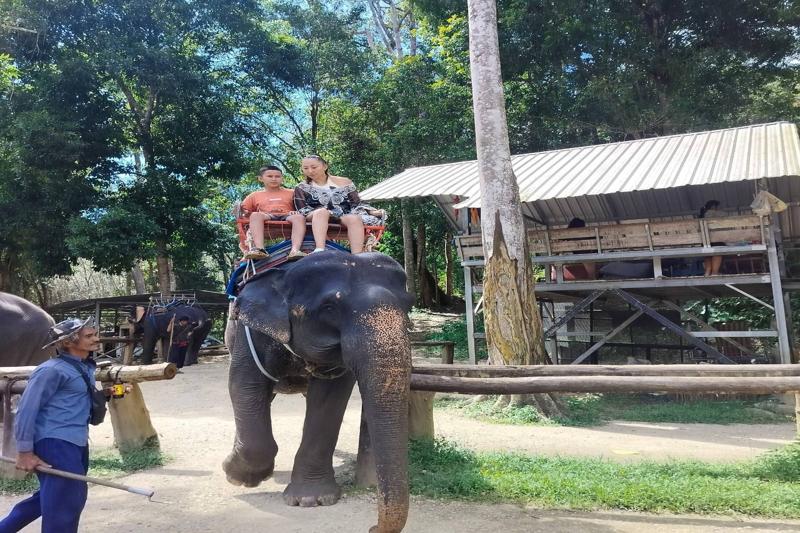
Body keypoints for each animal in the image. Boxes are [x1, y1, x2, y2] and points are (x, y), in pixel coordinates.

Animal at [223, 250, 413, 533]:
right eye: (329, 308)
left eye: (409, 305)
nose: (372, 527)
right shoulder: (251, 332)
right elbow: (243, 384)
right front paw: (236, 475)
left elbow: (329, 398)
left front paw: (310, 500)